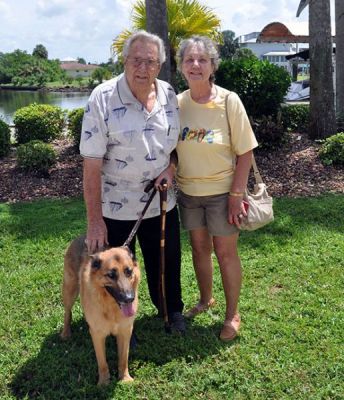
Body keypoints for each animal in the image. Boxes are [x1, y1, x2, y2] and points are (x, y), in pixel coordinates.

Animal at [60, 236, 140, 382]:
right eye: (111, 275)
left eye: (129, 271)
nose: (129, 298)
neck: (111, 306)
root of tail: (80, 237)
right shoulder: (97, 335)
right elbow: (102, 362)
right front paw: (103, 382)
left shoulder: (125, 332)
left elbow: (123, 359)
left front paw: (125, 378)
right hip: (69, 290)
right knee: (67, 312)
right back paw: (66, 333)